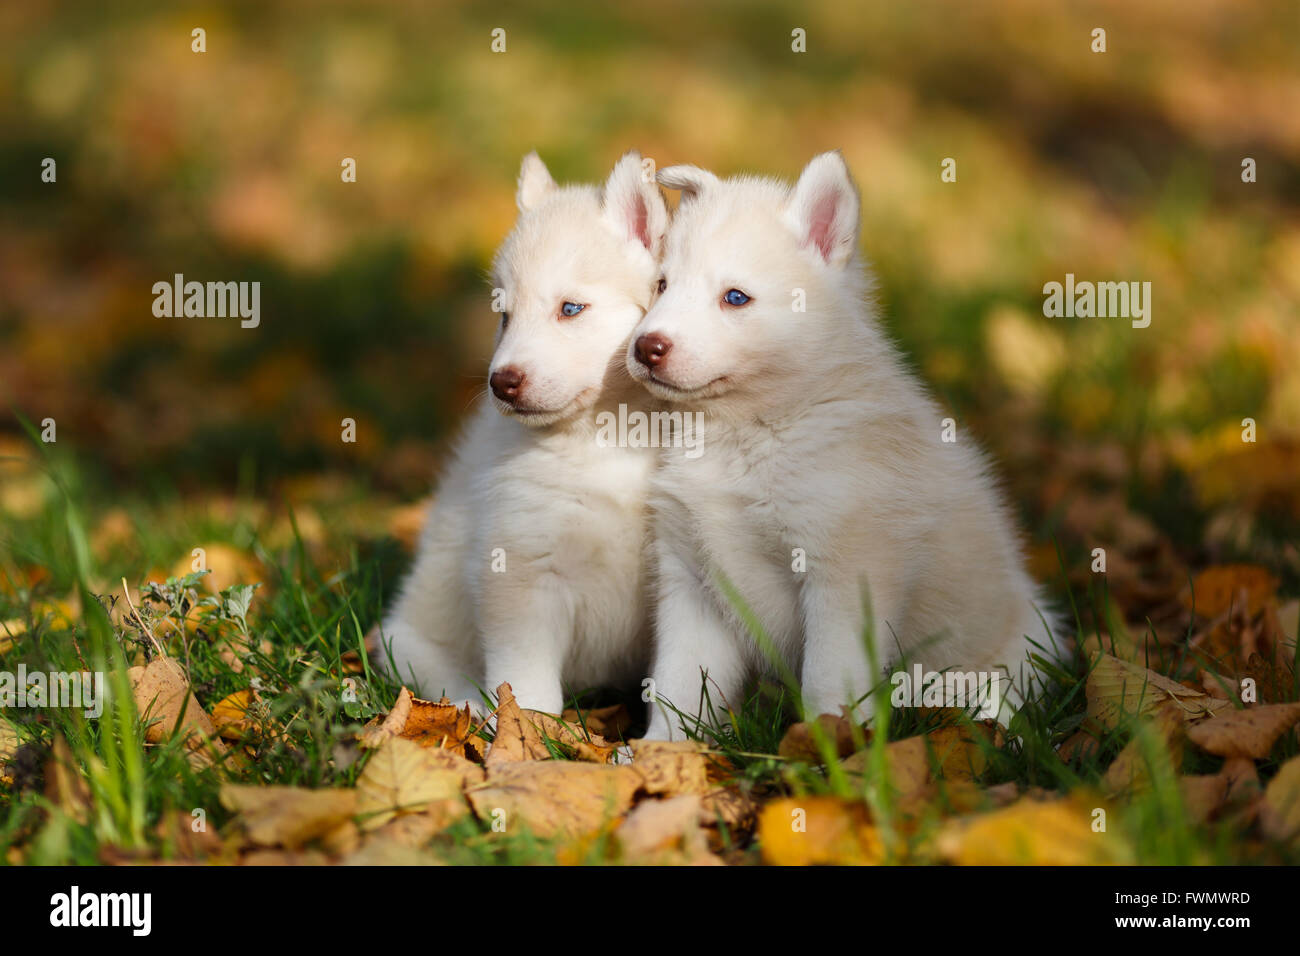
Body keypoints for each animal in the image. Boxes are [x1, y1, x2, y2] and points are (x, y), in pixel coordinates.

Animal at [374, 151, 660, 717]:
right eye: (503, 317)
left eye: (570, 309)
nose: (501, 382)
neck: (609, 442)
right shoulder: (521, 572)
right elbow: (527, 684)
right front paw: (526, 731)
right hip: (408, 638)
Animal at [624, 151, 1060, 738]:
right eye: (662, 285)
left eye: (735, 298)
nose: (647, 347)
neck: (747, 435)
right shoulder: (692, 578)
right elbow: (679, 681)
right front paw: (664, 746)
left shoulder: (845, 577)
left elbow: (829, 681)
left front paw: (828, 745)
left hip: (1016, 649)